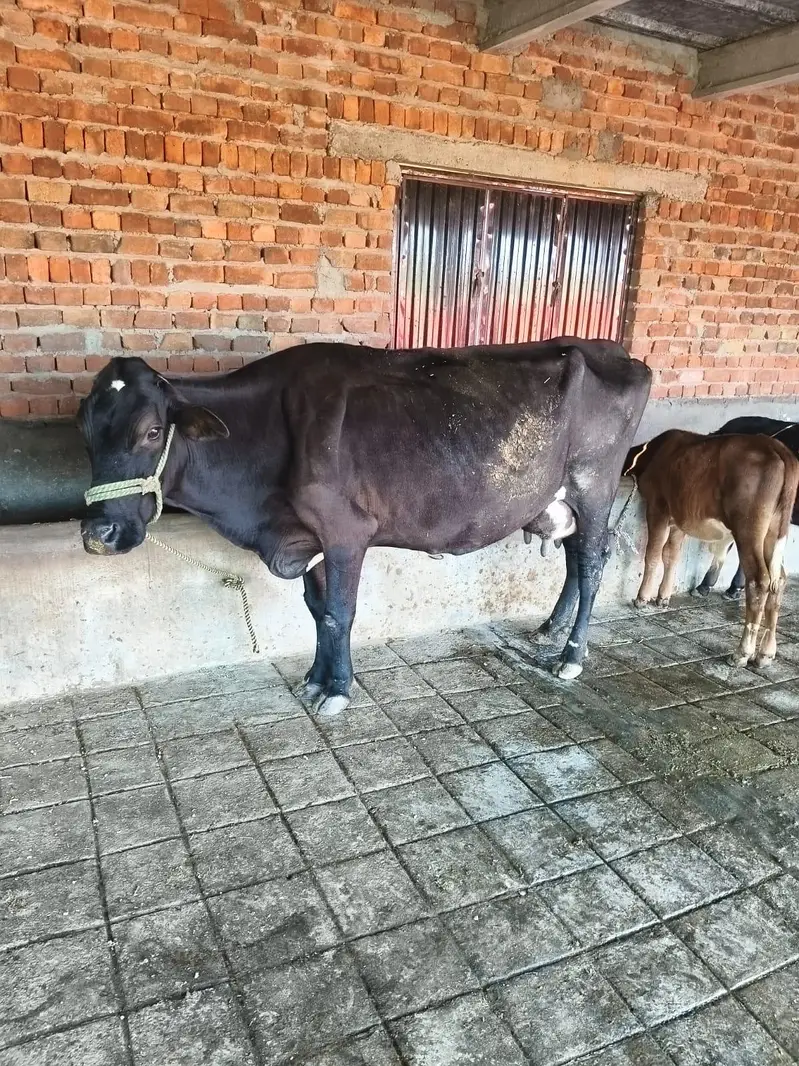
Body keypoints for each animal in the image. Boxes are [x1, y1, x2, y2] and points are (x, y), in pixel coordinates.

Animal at [79, 340, 651, 715]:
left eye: (153, 431)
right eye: (82, 429)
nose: (97, 535)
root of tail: (618, 353)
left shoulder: (345, 533)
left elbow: (339, 613)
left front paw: (338, 690)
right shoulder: (308, 539)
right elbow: (316, 611)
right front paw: (314, 680)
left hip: (594, 485)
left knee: (592, 563)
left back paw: (570, 657)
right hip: (561, 501)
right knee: (576, 559)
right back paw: (550, 629)